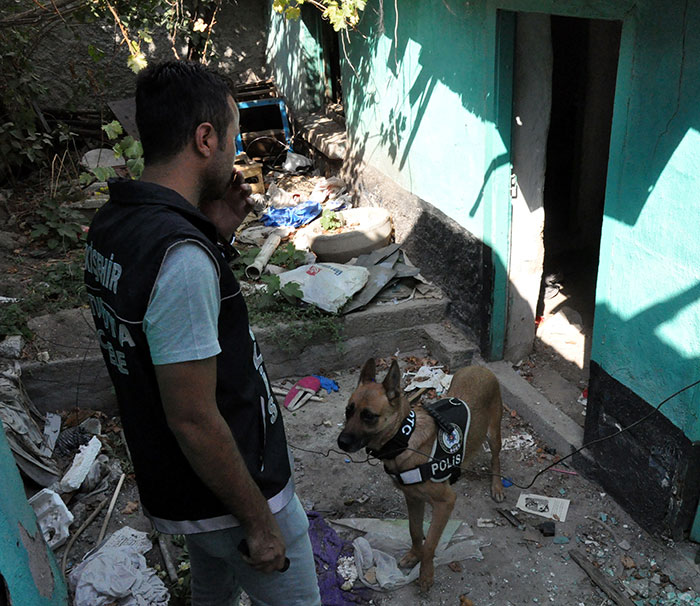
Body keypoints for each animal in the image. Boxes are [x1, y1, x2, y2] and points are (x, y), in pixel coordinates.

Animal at [338, 358, 506, 592]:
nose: (341, 442)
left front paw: (426, 574)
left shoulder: (445, 503)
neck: (404, 437)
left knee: (496, 458)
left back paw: (497, 486)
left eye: (369, 416)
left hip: (494, 433)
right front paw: (414, 555)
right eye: (348, 411)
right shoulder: (413, 498)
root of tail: (480, 367)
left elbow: (430, 544)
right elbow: (415, 531)